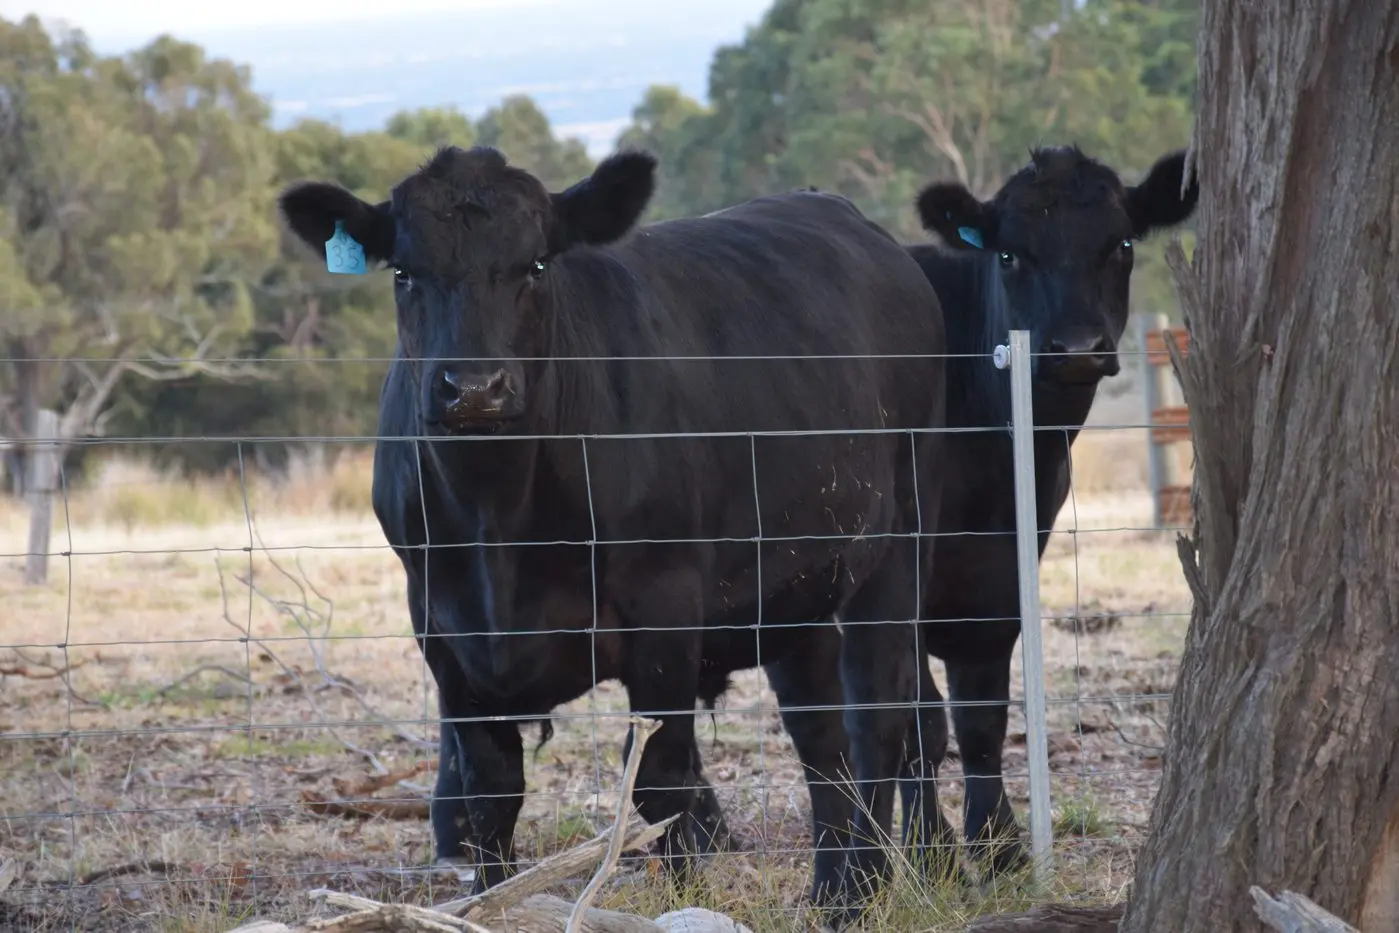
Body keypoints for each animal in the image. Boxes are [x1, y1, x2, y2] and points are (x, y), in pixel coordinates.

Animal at [276, 145, 949, 920]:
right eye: (404, 272)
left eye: (536, 265)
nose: (474, 387)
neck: (497, 527)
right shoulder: (443, 630)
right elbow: (490, 790)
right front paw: (490, 904)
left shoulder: (665, 610)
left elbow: (660, 784)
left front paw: (684, 902)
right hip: (801, 580)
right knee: (820, 733)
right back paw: (833, 891)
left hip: (899, 542)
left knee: (882, 716)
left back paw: (865, 885)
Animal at [890, 145, 1200, 879]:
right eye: (1008, 254)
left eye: (1121, 245)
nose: (1078, 348)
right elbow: (920, 717)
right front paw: (932, 853)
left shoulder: (1004, 570)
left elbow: (981, 716)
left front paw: (999, 844)